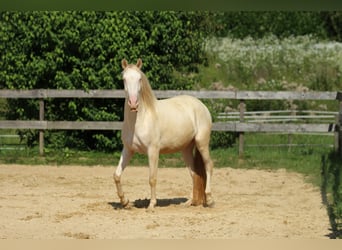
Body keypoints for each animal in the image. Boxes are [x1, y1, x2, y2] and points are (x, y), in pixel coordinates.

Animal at [112, 58, 214, 209]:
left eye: (139, 79)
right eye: (124, 79)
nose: (133, 104)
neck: (140, 120)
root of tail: (200, 105)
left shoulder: (153, 151)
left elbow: (152, 178)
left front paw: (151, 205)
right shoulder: (128, 150)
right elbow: (117, 175)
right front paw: (125, 202)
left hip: (202, 143)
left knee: (208, 166)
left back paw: (210, 199)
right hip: (186, 149)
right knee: (194, 174)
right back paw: (189, 202)